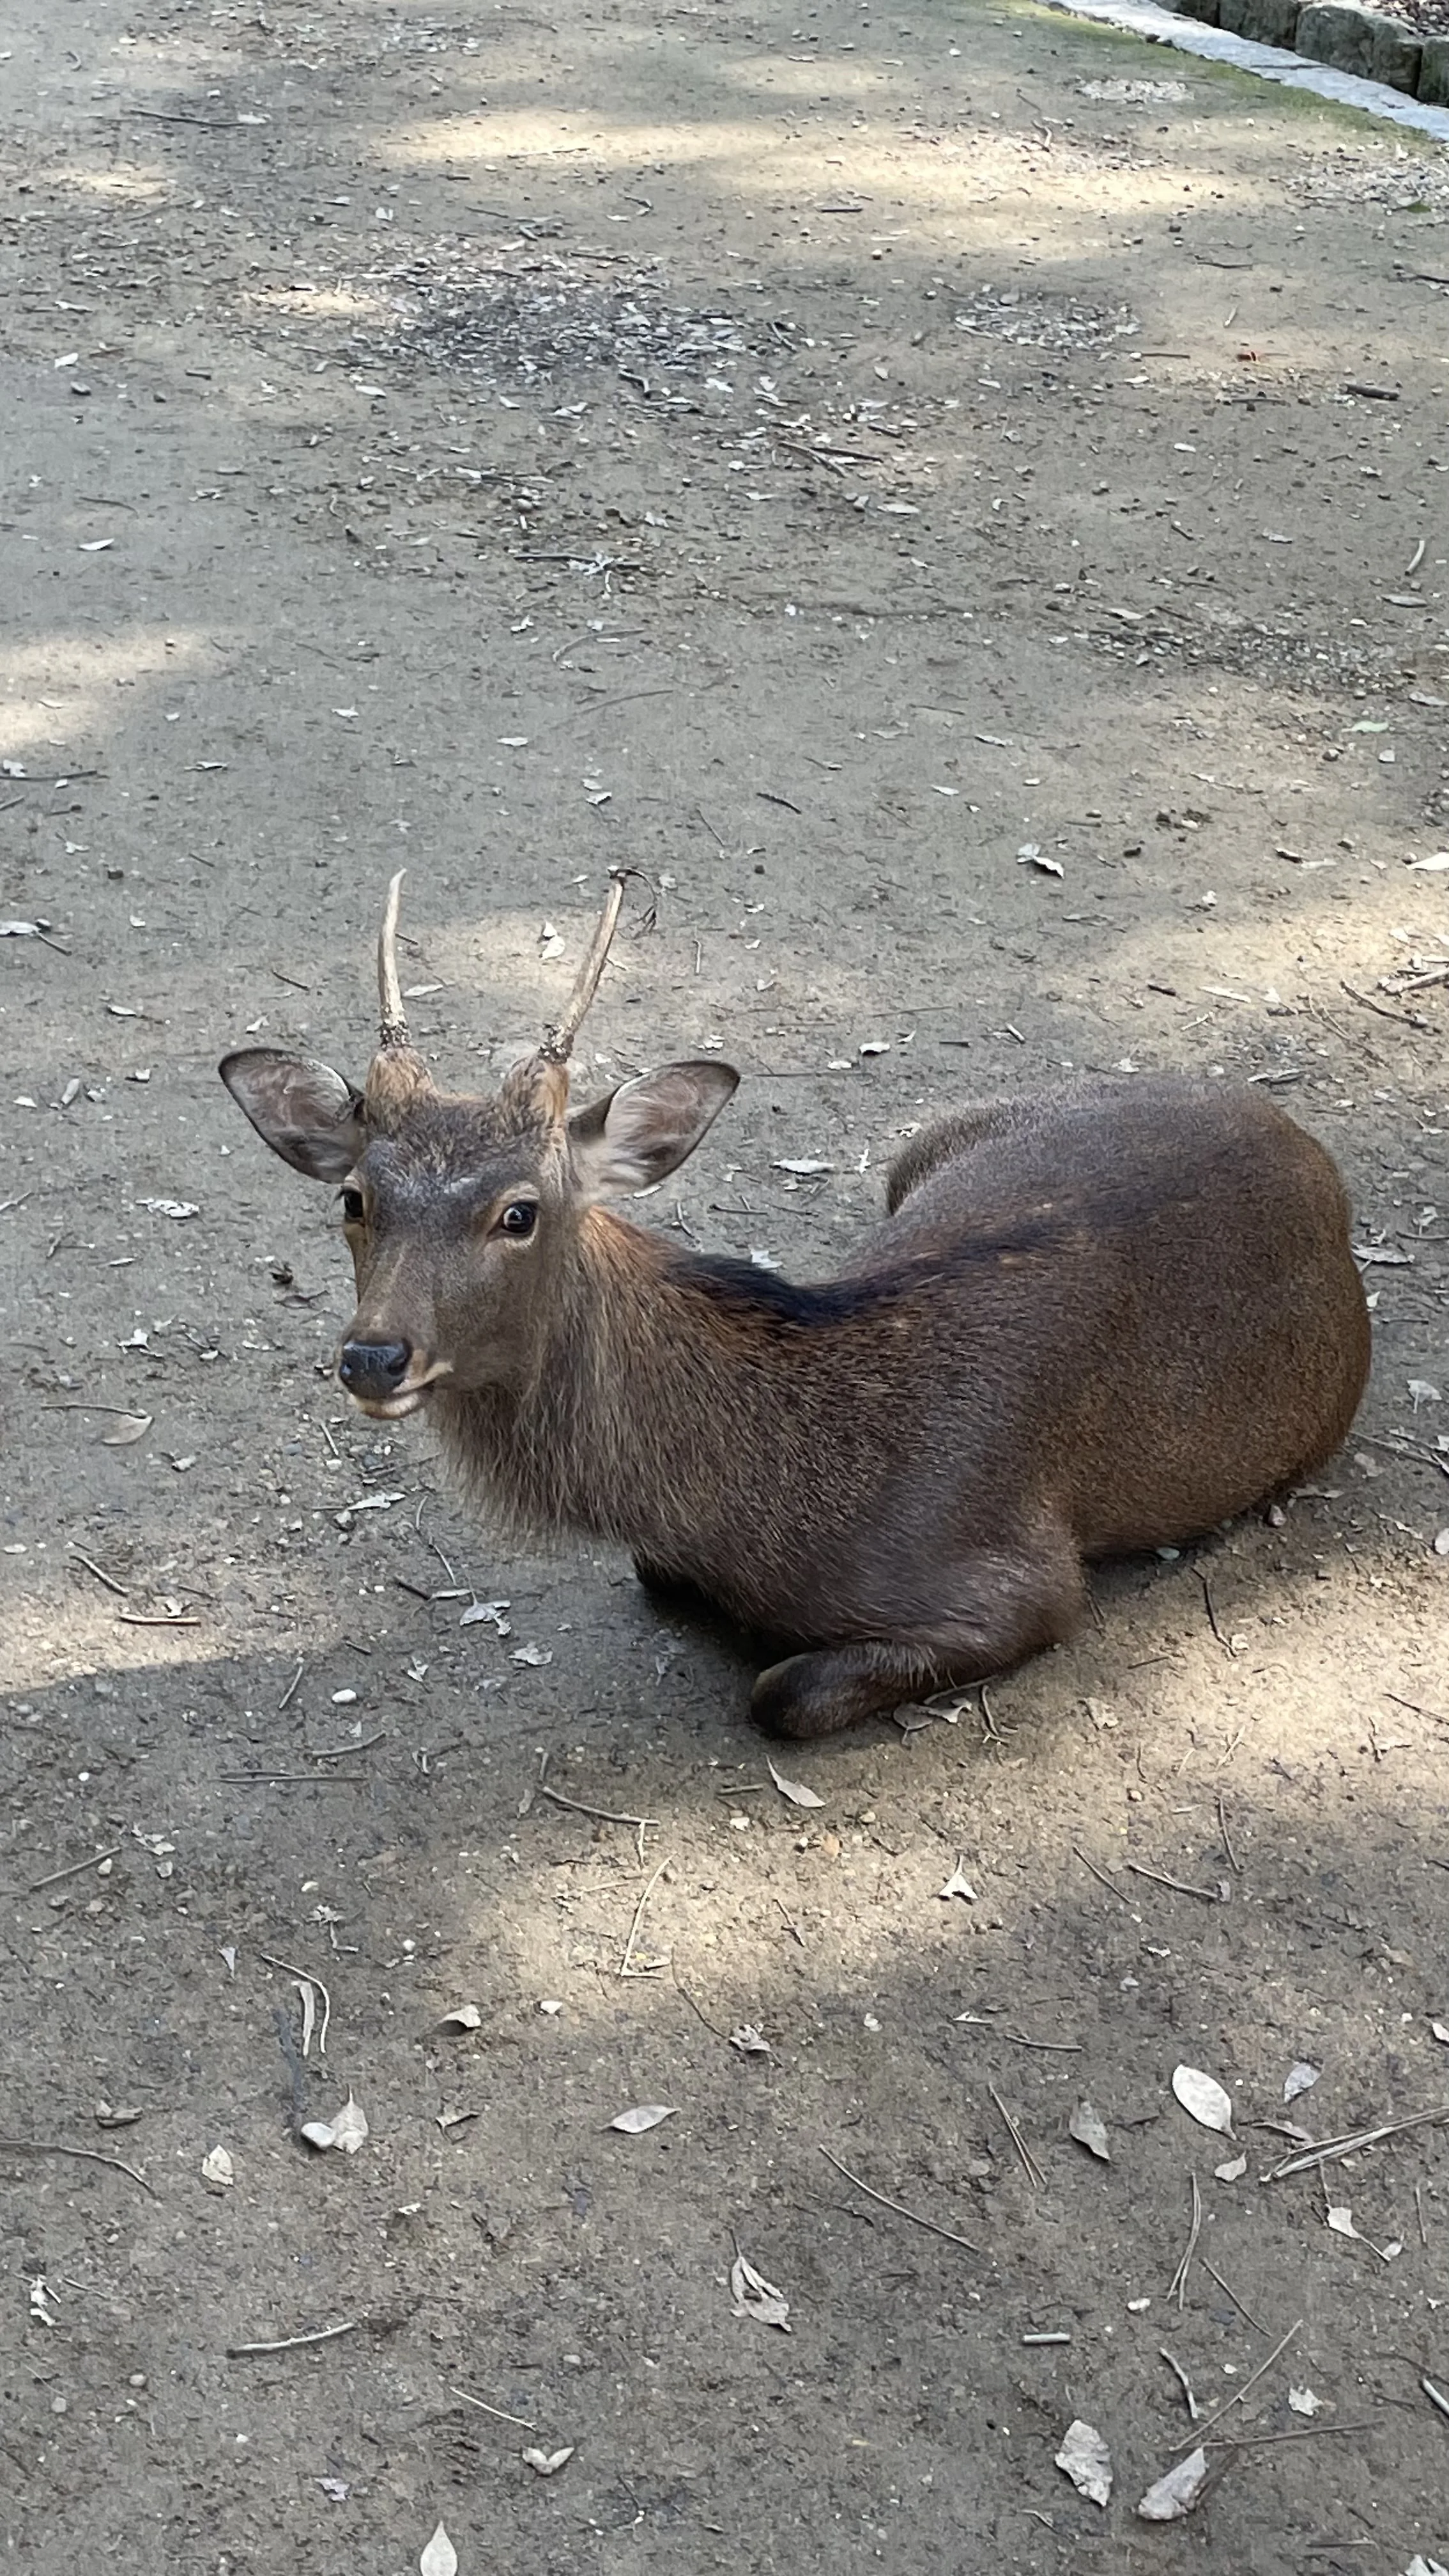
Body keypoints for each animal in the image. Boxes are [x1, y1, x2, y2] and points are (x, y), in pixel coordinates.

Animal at [220, 871, 1371, 1740]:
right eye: (355, 1197)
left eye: (519, 1211)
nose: (375, 1356)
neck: (760, 1511)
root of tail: (1302, 1142)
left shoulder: (1020, 1582)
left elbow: (781, 1693)